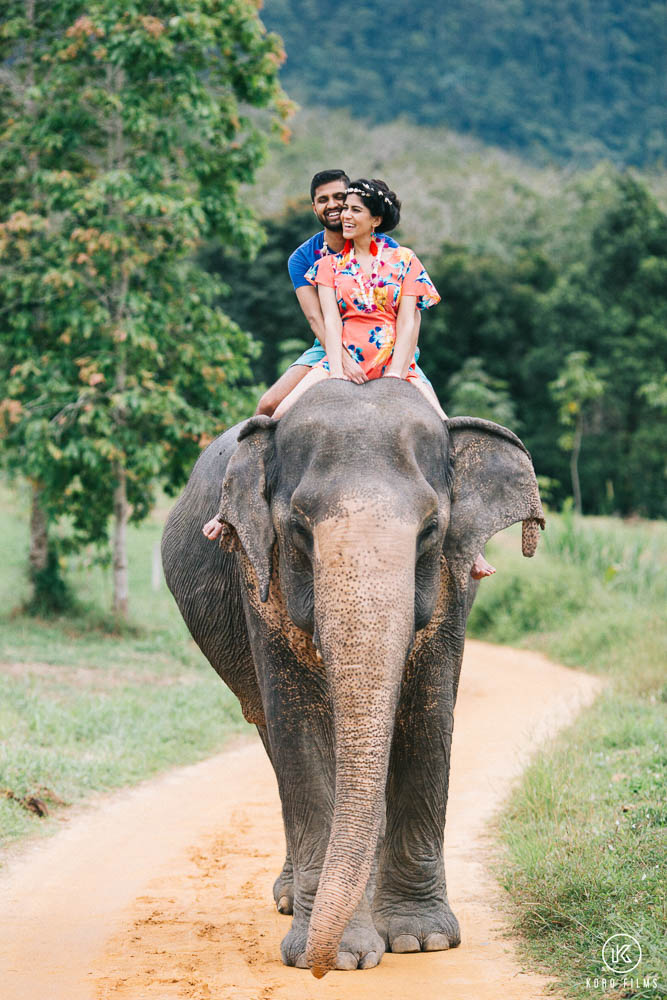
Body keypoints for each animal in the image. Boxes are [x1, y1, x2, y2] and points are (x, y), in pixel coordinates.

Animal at [163, 378, 548, 980]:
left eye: (431, 530)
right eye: (299, 529)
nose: (324, 967)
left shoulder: (454, 583)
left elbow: (429, 712)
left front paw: (420, 941)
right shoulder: (257, 575)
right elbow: (297, 725)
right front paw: (333, 955)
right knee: (269, 735)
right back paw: (294, 901)